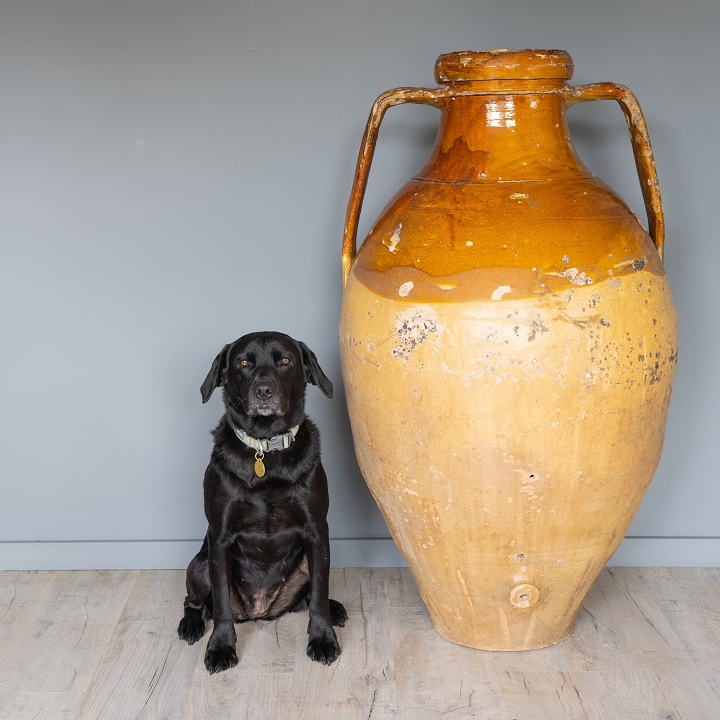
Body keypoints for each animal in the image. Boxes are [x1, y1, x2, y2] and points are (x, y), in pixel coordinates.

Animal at [177, 332, 346, 676]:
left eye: (285, 361)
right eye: (243, 362)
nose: (264, 391)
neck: (265, 450)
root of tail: (260, 610)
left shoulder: (317, 532)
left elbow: (319, 593)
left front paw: (323, 638)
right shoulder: (219, 537)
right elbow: (222, 605)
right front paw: (221, 647)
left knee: (312, 594)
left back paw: (333, 607)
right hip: (200, 565)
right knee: (194, 601)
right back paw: (191, 625)